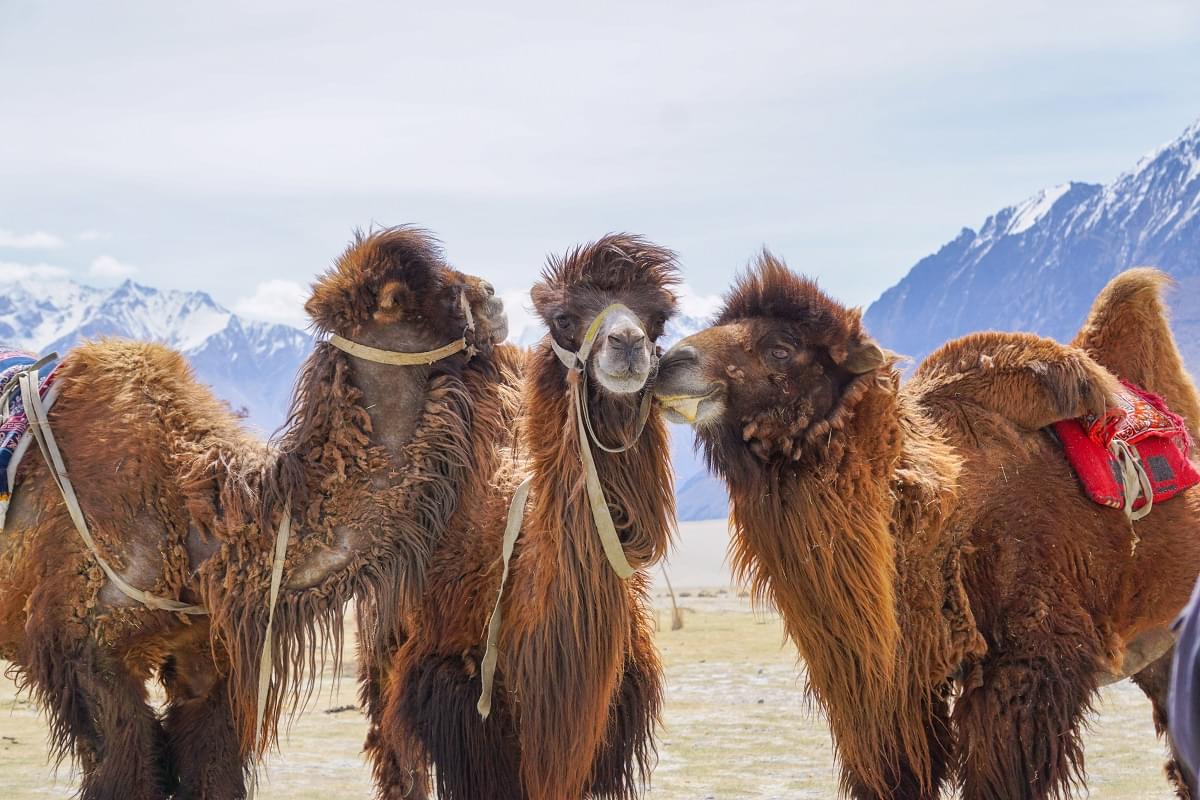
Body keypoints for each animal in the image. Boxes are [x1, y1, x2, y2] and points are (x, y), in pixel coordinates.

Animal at [0, 226, 506, 800]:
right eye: (402, 296)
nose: (492, 296)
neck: (200, 526)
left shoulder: (204, 661)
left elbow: (212, 771)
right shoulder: (86, 656)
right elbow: (127, 775)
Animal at [362, 232, 686, 800]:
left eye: (659, 317)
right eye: (563, 318)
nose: (627, 343)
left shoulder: (604, 721)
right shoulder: (463, 706)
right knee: (395, 755)